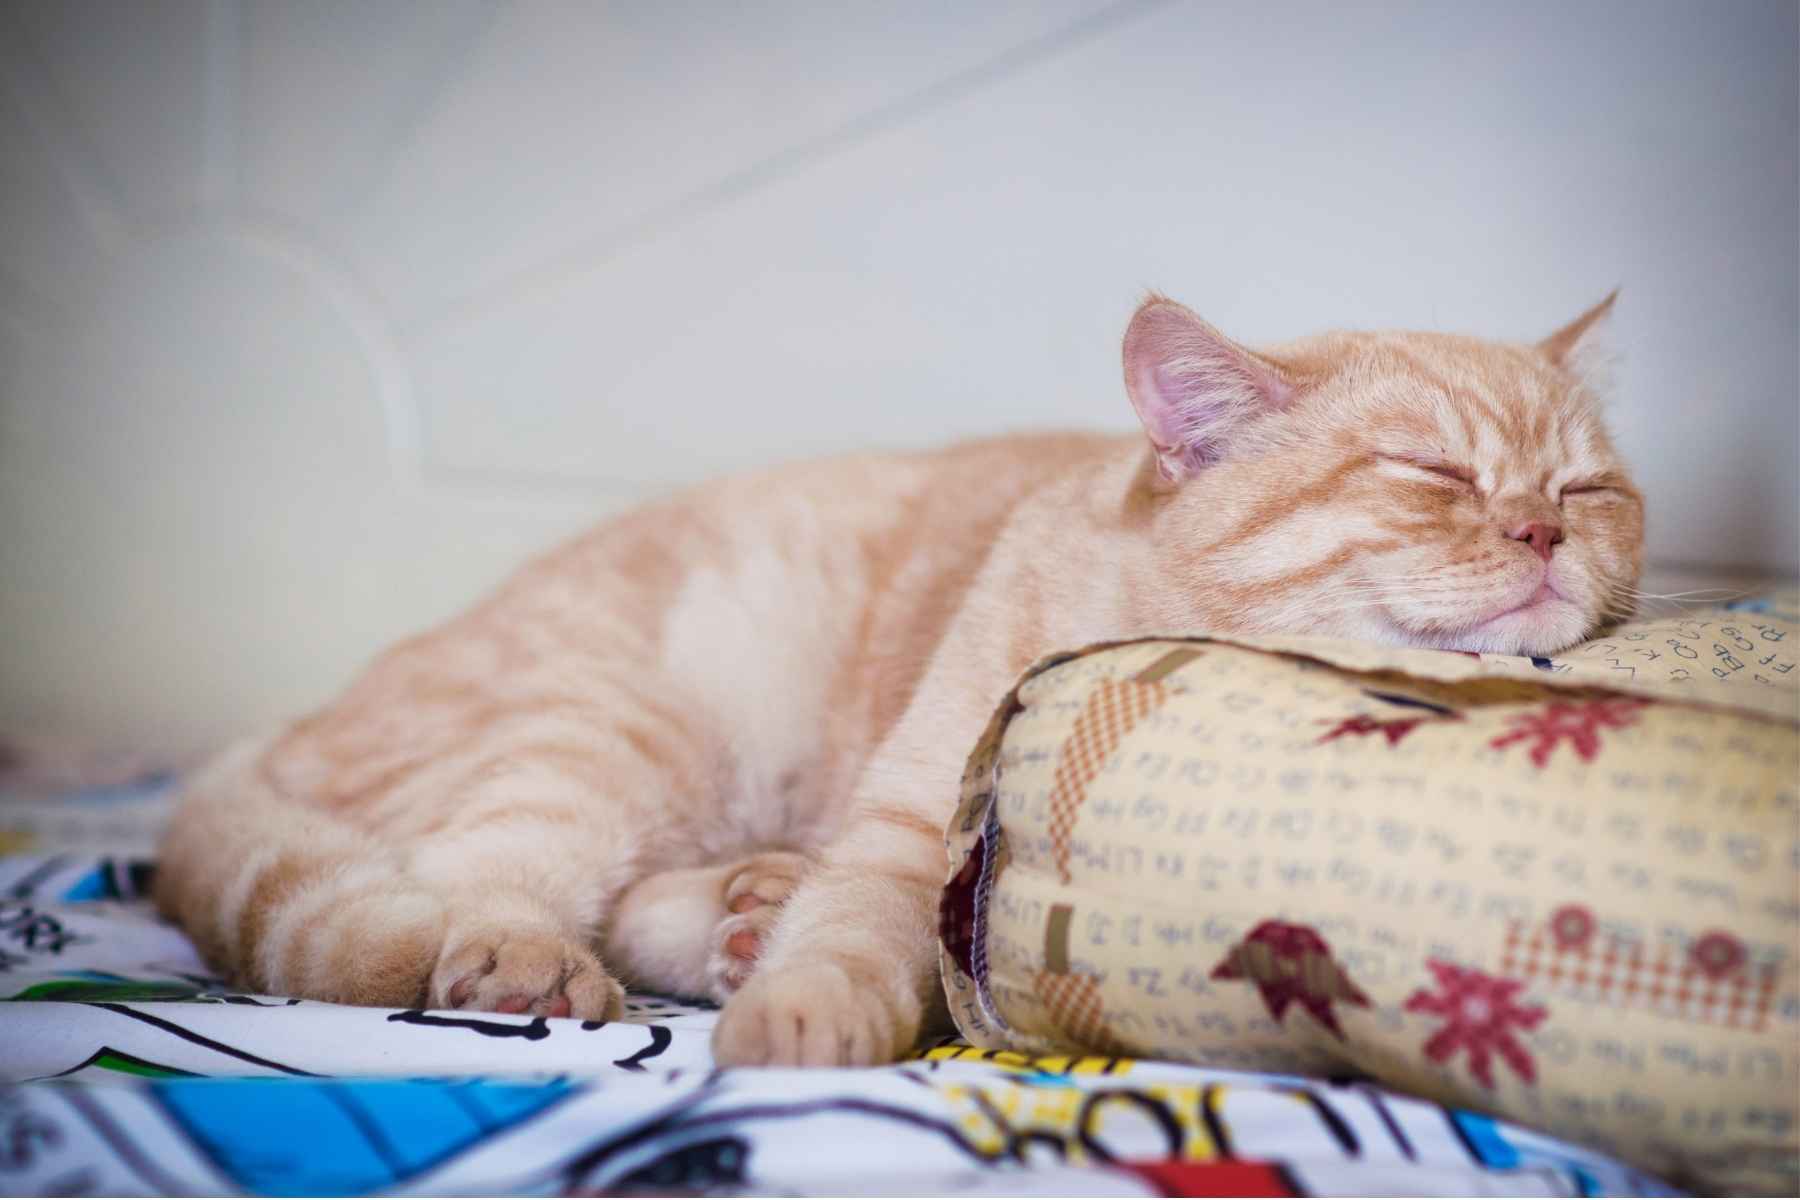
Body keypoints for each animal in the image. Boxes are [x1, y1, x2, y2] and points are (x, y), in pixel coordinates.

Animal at [154, 295, 1648, 1065]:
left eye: (1588, 488)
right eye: (1433, 473)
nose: (1541, 529)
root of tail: (280, 732)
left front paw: (775, 963)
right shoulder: (900, 825)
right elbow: (851, 939)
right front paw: (796, 1016)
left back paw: (736, 917)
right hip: (620, 730)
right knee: (449, 905)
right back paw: (549, 959)